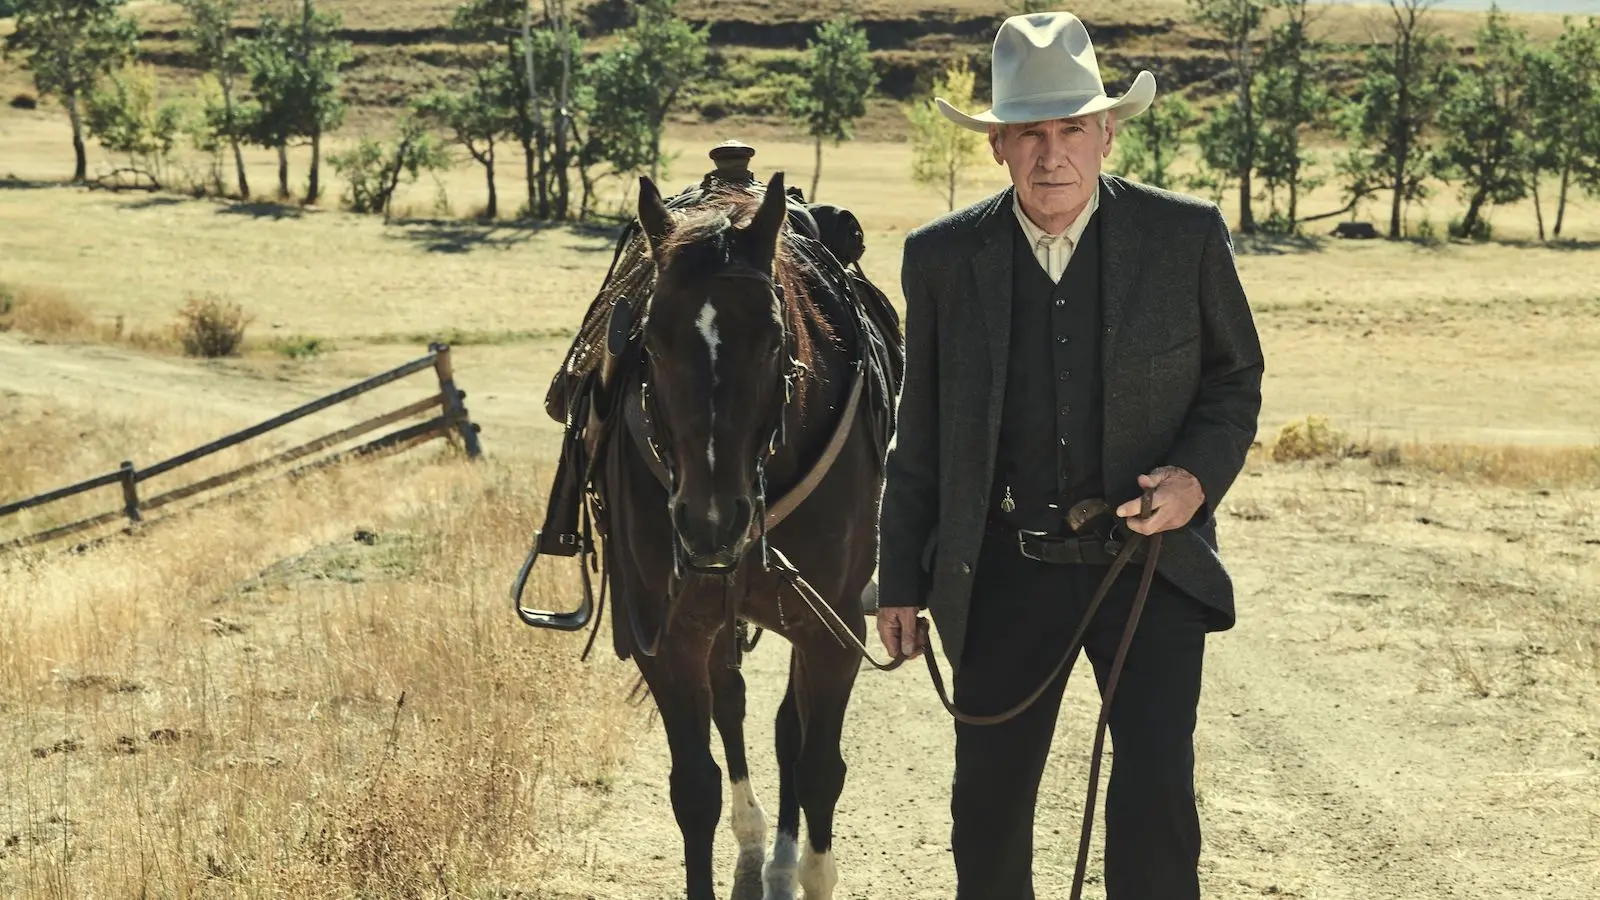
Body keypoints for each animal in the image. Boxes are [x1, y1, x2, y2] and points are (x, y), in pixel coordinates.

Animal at [521, 169, 902, 896]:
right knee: (734, 706)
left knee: (787, 731)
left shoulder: (834, 630)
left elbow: (818, 769)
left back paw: (778, 859)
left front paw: (806, 866)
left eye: (774, 336)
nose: (711, 523)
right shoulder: (669, 636)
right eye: (650, 337)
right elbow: (695, 788)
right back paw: (755, 845)